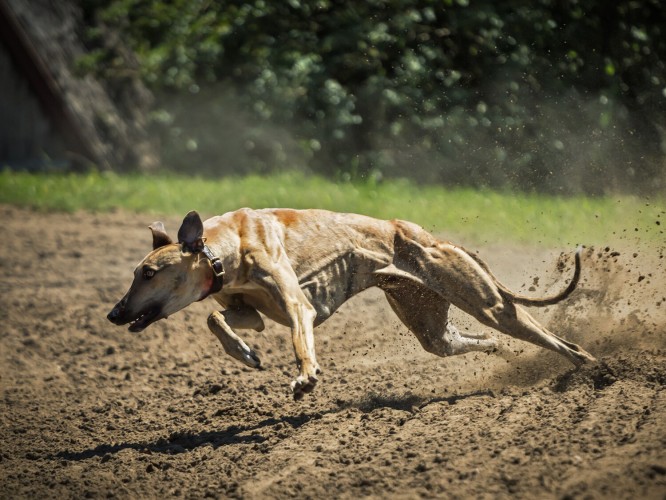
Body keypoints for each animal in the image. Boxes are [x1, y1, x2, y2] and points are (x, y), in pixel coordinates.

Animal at [106, 207, 592, 398]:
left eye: (147, 273)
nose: (114, 313)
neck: (222, 249)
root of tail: (434, 238)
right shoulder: (250, 312)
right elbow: (214, 317)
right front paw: (244, 354)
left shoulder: (298, 308)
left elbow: (301, 343)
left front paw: (305, 378)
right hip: (432, 327)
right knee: (467, 340)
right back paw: (502, 353)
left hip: (489, 305)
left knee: (561, 342)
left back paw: (591, 367)